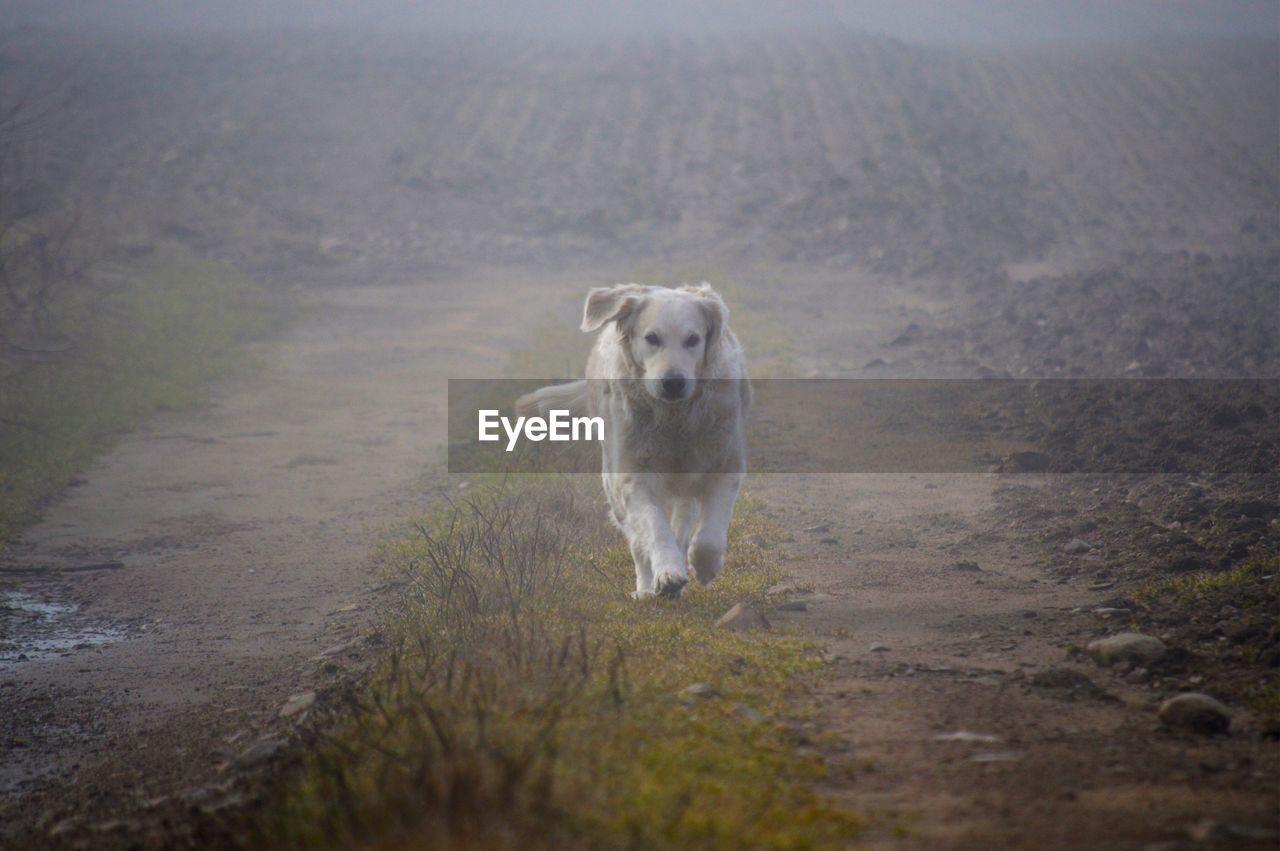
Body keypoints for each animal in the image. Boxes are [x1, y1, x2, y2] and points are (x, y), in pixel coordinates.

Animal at [517, 281, 747, 593]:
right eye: (652, 338)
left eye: (693, 339)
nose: (673, 383)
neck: (674, 420)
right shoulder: (634, 476)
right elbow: (655, 530)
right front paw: (668, 573)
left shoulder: (725, 463)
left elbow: (709, 536)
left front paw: (705, 567)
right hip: (613, 483)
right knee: (639, 542)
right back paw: (647, 588)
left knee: (683, 522)